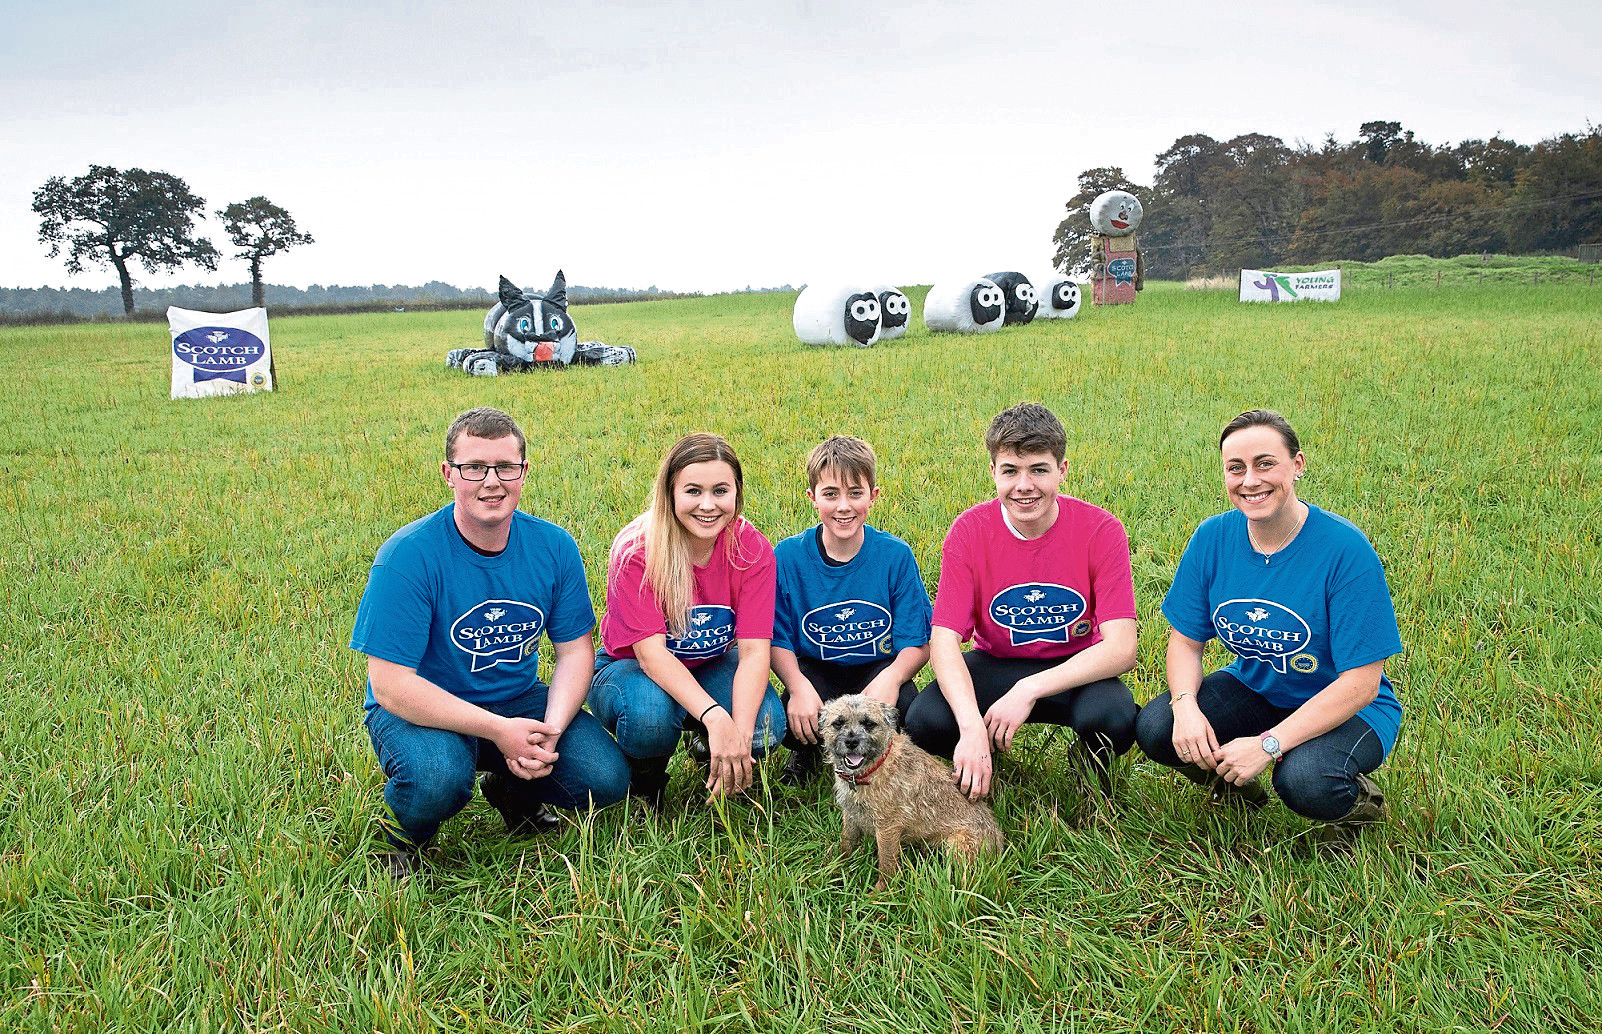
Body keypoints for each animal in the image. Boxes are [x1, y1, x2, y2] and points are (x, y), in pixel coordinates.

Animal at [826, 692, 999, 884]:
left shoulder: (887, 828)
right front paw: (837, 868)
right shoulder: (850, 815)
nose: (851, 741)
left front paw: (881, 890)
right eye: (838, 723)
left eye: (869, 723)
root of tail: (998, 843)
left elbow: (887, 863)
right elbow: (846, 842)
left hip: (958, 847)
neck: (873, 769)